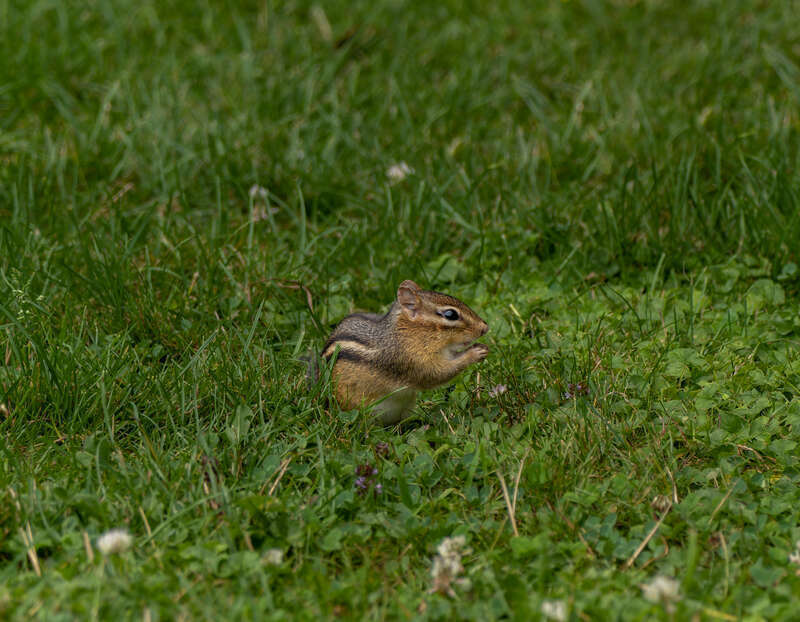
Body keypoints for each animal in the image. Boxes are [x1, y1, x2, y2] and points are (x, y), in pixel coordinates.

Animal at [316, 280, 489, 424]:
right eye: (450, 314)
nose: (485, 328)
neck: (410, 333)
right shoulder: (411, 361)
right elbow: (437, 374)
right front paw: (475, 353)